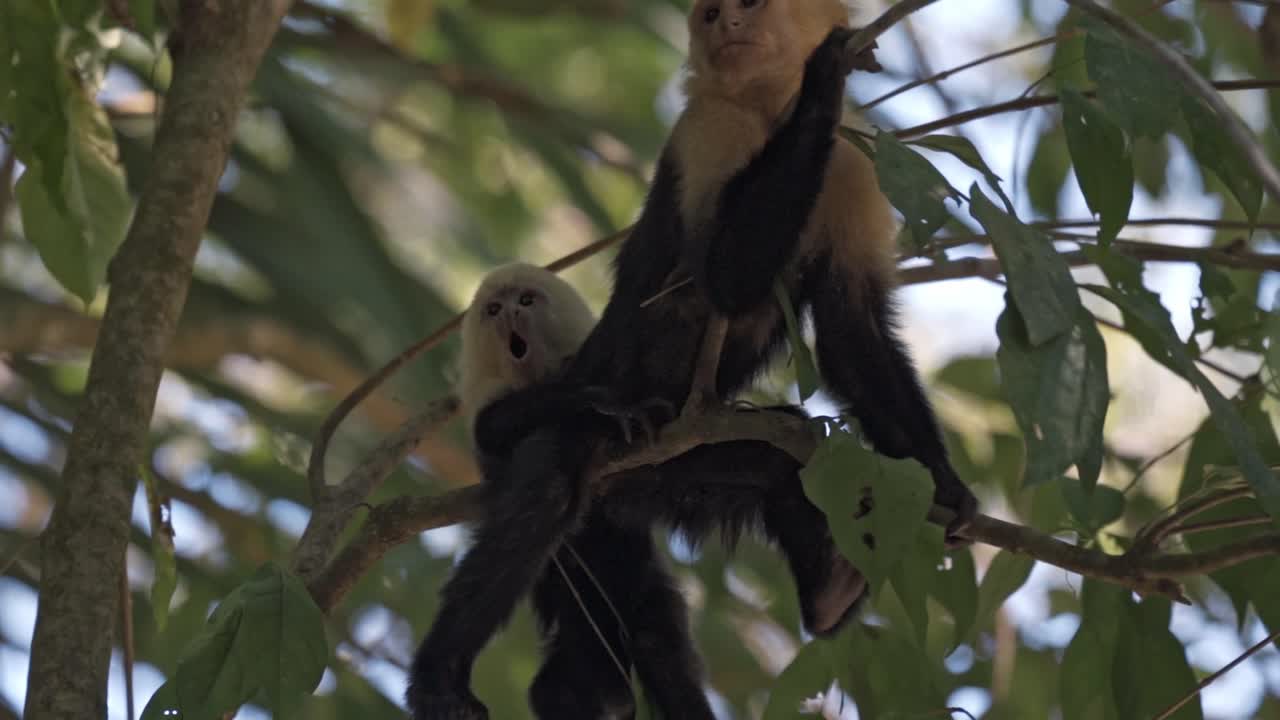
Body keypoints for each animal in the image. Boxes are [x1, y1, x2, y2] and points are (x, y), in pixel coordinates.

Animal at [419, 262, 865, 719]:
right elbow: (497, 428)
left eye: (526, 300)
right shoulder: (489, 397)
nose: (510, 315)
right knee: (547, 497)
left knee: (657, 639)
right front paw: (599, 406)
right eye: (493, 309)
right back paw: (445, 679)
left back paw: (831, 588)